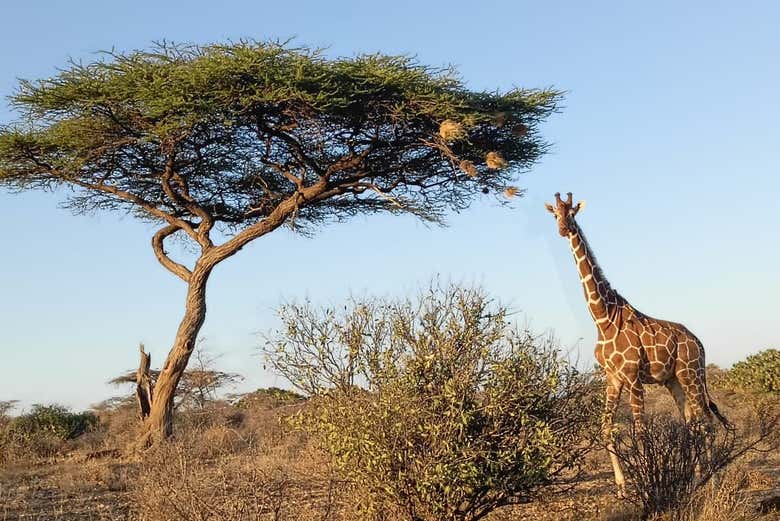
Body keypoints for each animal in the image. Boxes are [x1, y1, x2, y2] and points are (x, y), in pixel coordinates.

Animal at [544, 191, 728, 496]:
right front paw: (622, 487)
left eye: (572, 213)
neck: (603, 318)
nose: (562, 229)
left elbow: (640, 431)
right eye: (555, 215)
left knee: (706, 421)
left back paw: (713, 480)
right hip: (673, 380)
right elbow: (606, 429)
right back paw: (696, 477)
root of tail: (699, 343)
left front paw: (648, 488)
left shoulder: (632, 377)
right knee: (691, 423)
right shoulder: (613, 378)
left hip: (691, 374)